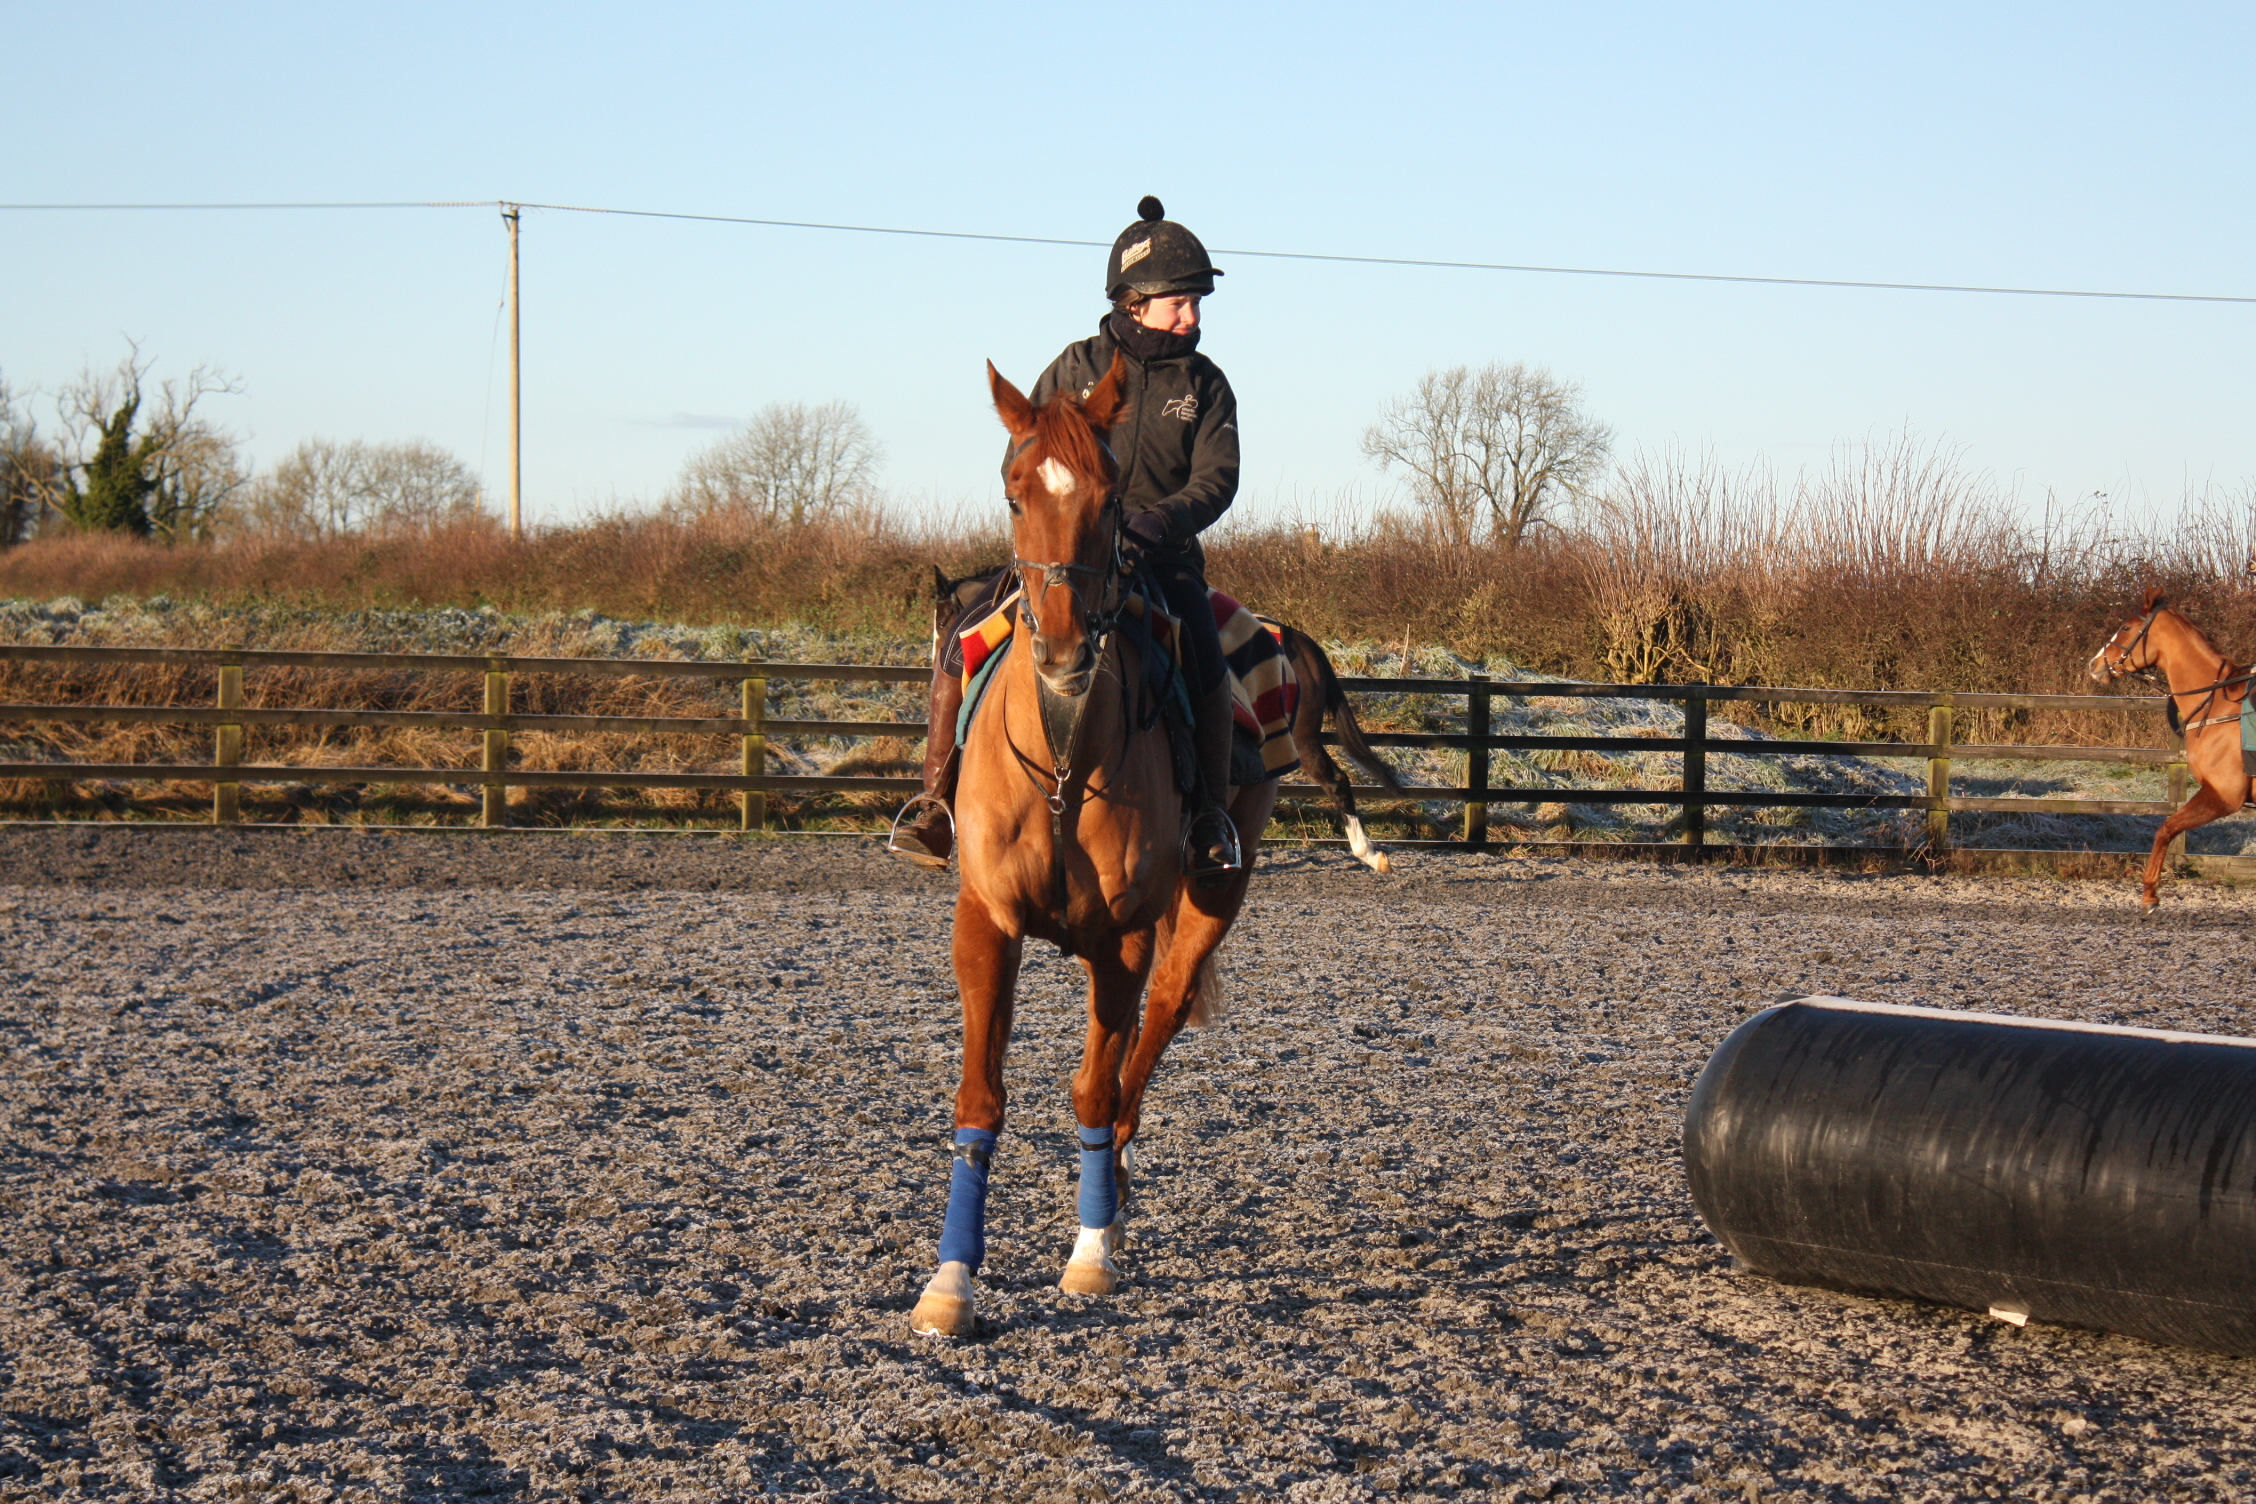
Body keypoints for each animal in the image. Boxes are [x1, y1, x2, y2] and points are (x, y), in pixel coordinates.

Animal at [906, 356, 1281, 1343]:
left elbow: (1093, 1090)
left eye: (1114, 501)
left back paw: (1112, 1191)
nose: (1069, 647)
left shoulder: (1123, 939)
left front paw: (1090, 1255)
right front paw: (950, 1285)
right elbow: (980, 1098)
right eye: (1014, 490)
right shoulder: (987, 923)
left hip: (1208, 903)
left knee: (1151, 1035)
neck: (1067, 753)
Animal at [2084, 590, 2246, 906]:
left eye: (2126, 627)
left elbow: (2165, 828)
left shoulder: (2224, 795)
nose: (2094, 665)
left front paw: (2149, 892)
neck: (2219, 706)